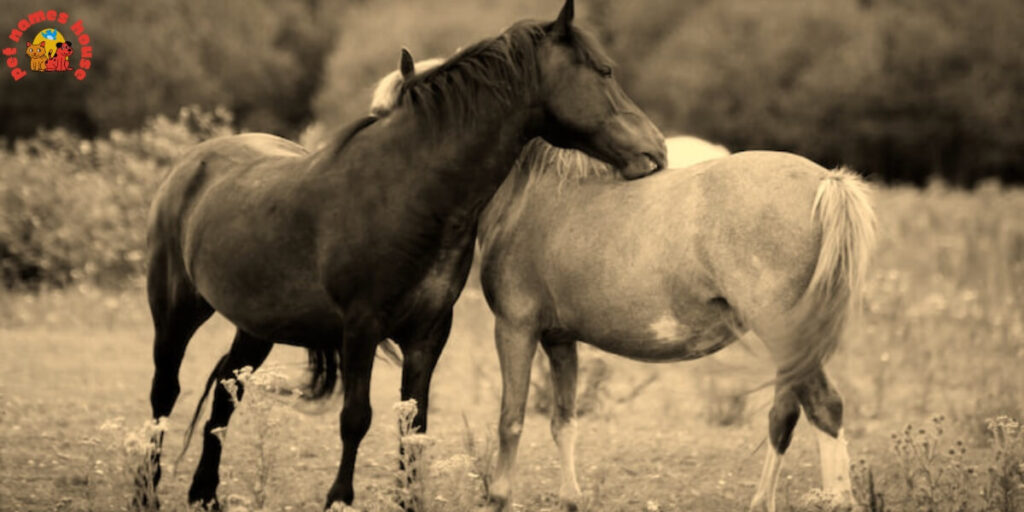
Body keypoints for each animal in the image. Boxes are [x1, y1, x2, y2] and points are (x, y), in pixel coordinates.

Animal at [143, 0, 666, 508]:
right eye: (604, 70)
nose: (656, 149)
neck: (406, 193)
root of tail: (192, 162)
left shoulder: (428, 333)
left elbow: (414, 425)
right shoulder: (361, 327)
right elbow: (356, 417)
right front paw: (339, 499)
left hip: (257, 325)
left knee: (226, 391)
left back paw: (205, 494)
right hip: (176, 311)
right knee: (164, 392)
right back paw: (146, 489)